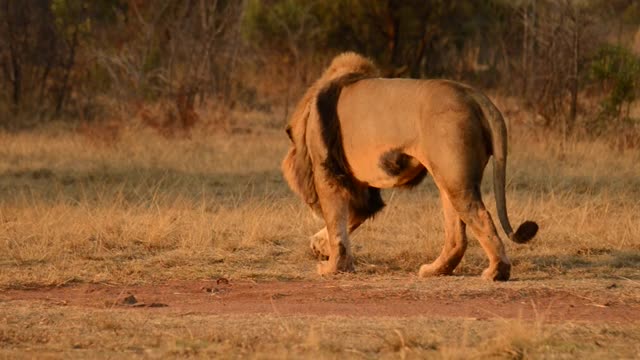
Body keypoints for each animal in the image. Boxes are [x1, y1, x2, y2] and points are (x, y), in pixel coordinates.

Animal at [282, 52, 536, 282]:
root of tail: (474, 95)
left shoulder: (328, 173)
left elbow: (337, 224)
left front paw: (332, 267)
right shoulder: (360, 187)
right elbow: (351, 217)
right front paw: (319, 245)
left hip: (456, 179)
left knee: (481, 216)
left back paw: (496, 272)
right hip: (447, 180)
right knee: (457, 236)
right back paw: (435, 270)